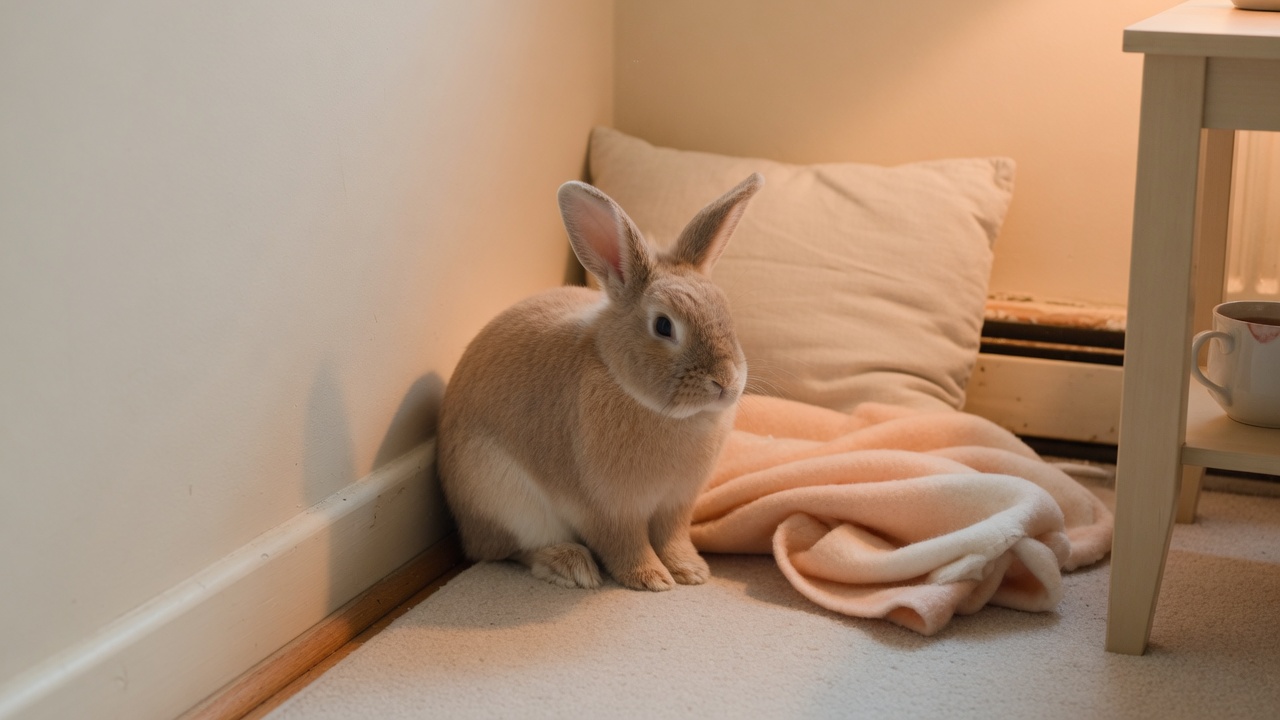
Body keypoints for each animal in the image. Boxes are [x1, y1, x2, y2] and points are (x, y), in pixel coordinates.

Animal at [437, 172, 763, 592]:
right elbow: (625, 545)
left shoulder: (676, 505)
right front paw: (652, 579)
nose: (725, 381)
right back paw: (569, 565)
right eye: (663, 326)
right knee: (507, 549)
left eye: (725, 312)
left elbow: (672, 538)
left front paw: (691, 571)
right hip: (504, 499)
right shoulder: (606, 509)